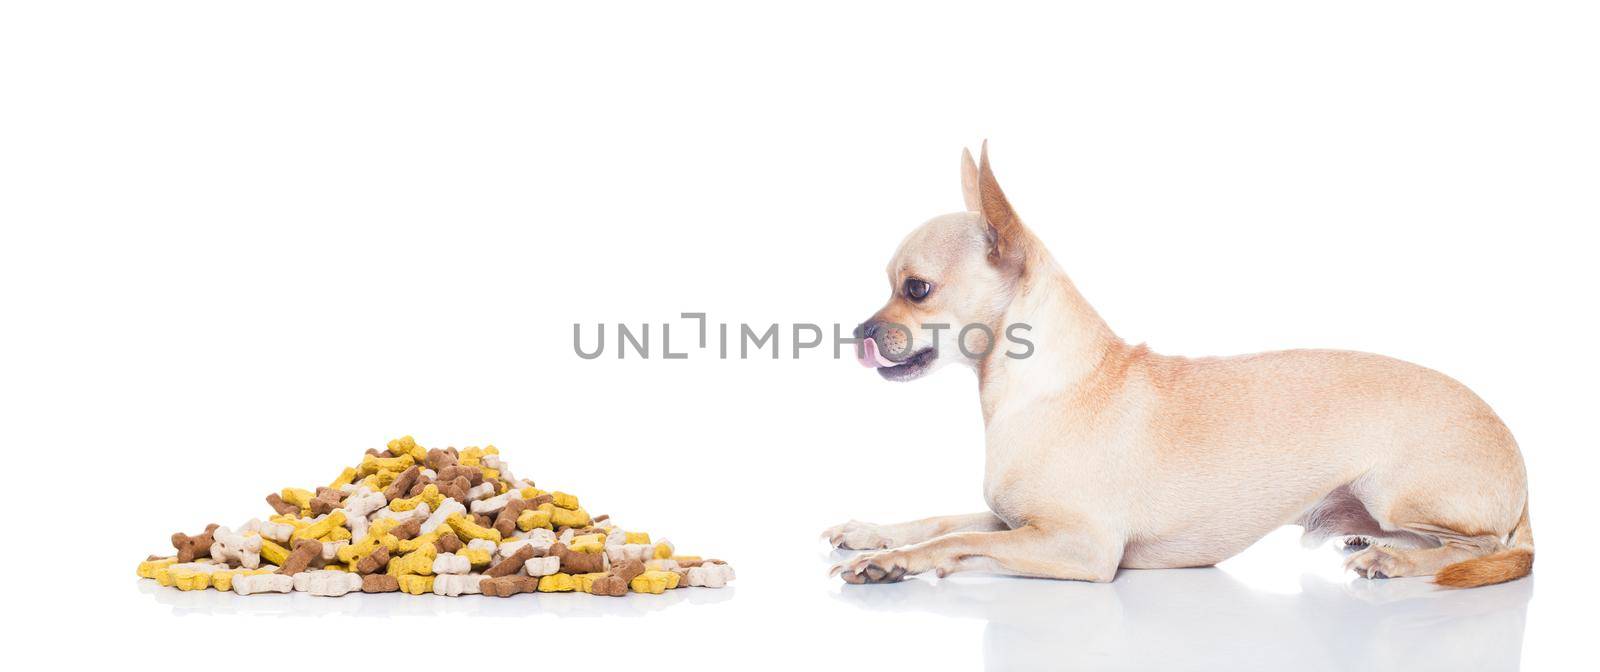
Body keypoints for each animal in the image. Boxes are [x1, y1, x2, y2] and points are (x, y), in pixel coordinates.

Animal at [832, 143, 1529, 588]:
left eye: (916, 289)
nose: (859, 332)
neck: (1035, 386)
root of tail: (1519, 461)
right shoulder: (1017, 525)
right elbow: (944, 522)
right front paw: (877, 540)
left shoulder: (1078, 546)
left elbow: (958, 540)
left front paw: (902, 558)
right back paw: (1371, 542)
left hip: (1399, 493)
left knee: (1479, 547)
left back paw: (1394, 561)